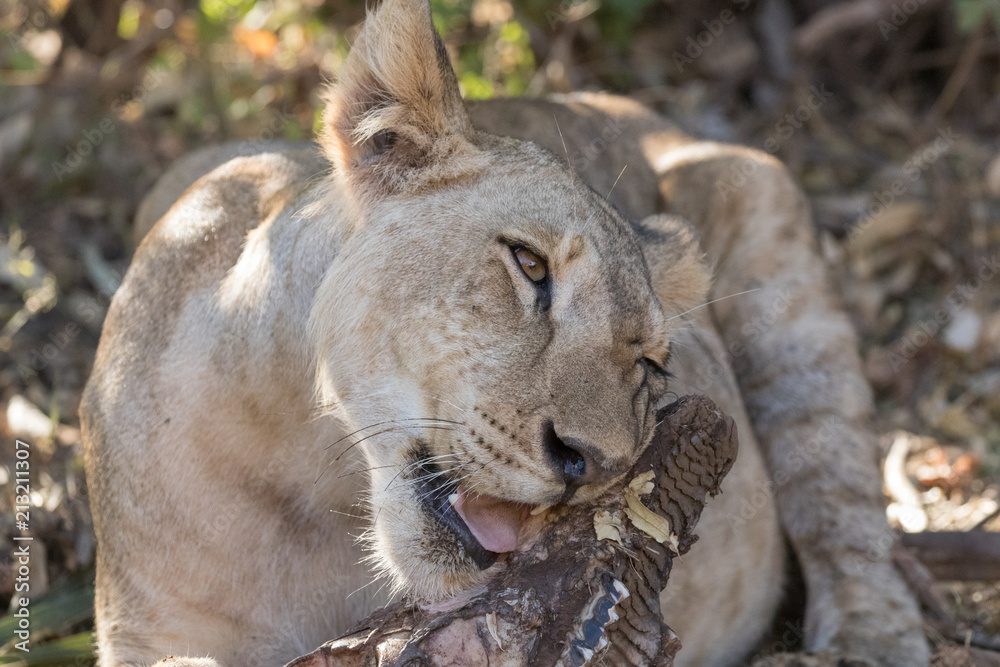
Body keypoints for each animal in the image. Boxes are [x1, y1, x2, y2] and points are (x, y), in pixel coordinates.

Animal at [80, 0, 928, 665]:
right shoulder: (149, 630)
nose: (593, 464)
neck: (323, 468)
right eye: (528, 265)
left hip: (774, 237)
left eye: (649, 363)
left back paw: (874, 638)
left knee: (842, 506)